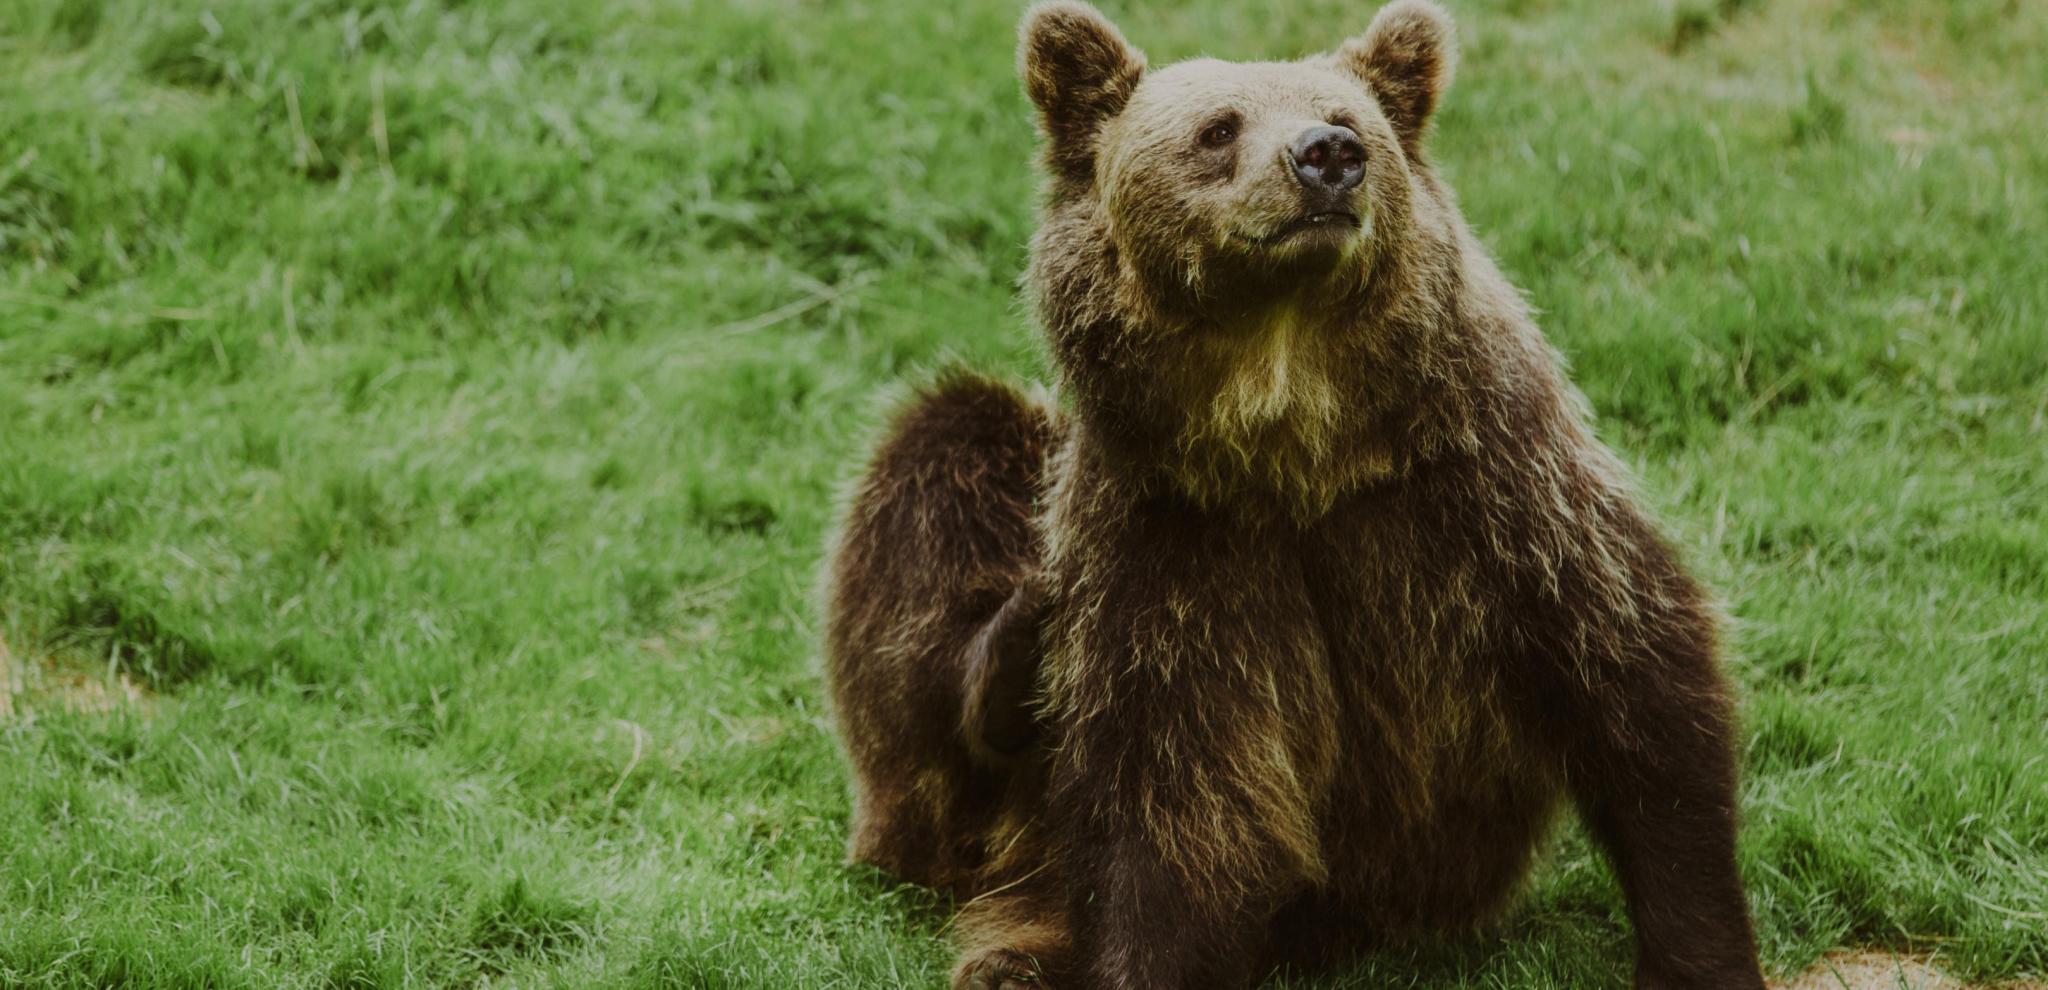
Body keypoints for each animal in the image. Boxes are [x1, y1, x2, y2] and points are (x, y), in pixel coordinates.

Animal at [821, 2, 1767, 989]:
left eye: (1349, 120)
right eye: (1218, 128)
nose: (1325, 156)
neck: (1289, 427)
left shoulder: (1492, 488)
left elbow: (1635, 678)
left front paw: (1698, 949)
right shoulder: (1168, 540)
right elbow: (1181, 797)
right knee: (940, 455)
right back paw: (1005, 673)